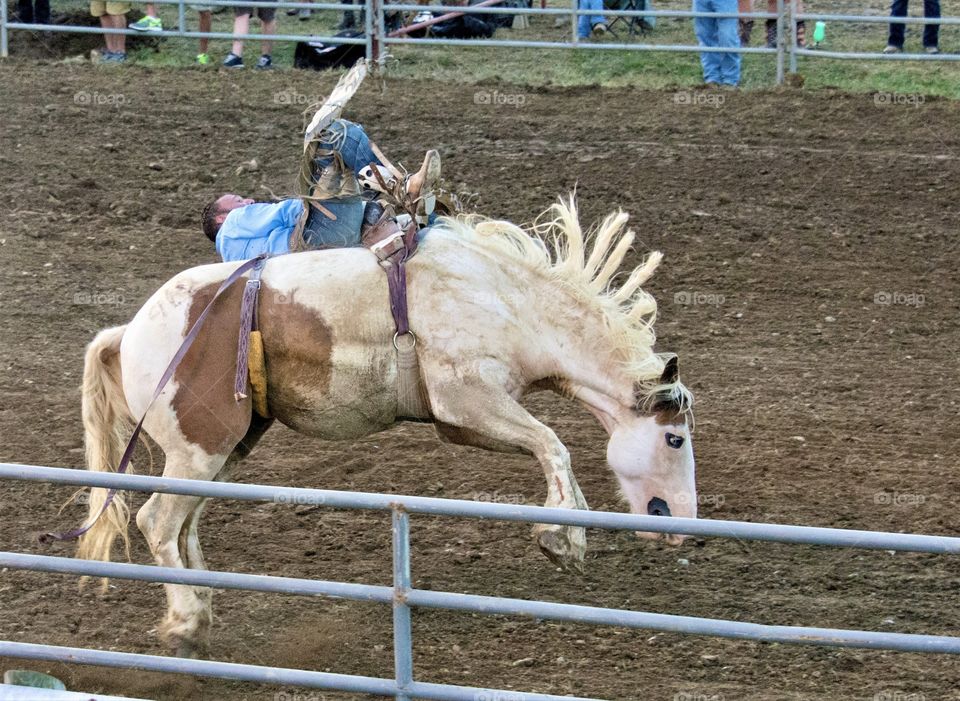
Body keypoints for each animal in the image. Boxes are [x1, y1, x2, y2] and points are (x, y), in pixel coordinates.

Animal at [77, 198, 688, 656]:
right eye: (674, 437)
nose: (682, 521)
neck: (505, 301)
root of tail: (129, 332)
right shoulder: (466, 402)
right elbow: (554, 445)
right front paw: (562, 538)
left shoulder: (470, 417)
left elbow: (551, 448)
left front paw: (570, 526)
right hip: (197, 449)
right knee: (158, 522)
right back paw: (184, 622)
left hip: (223, 452)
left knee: (184, 527)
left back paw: (201, 612)